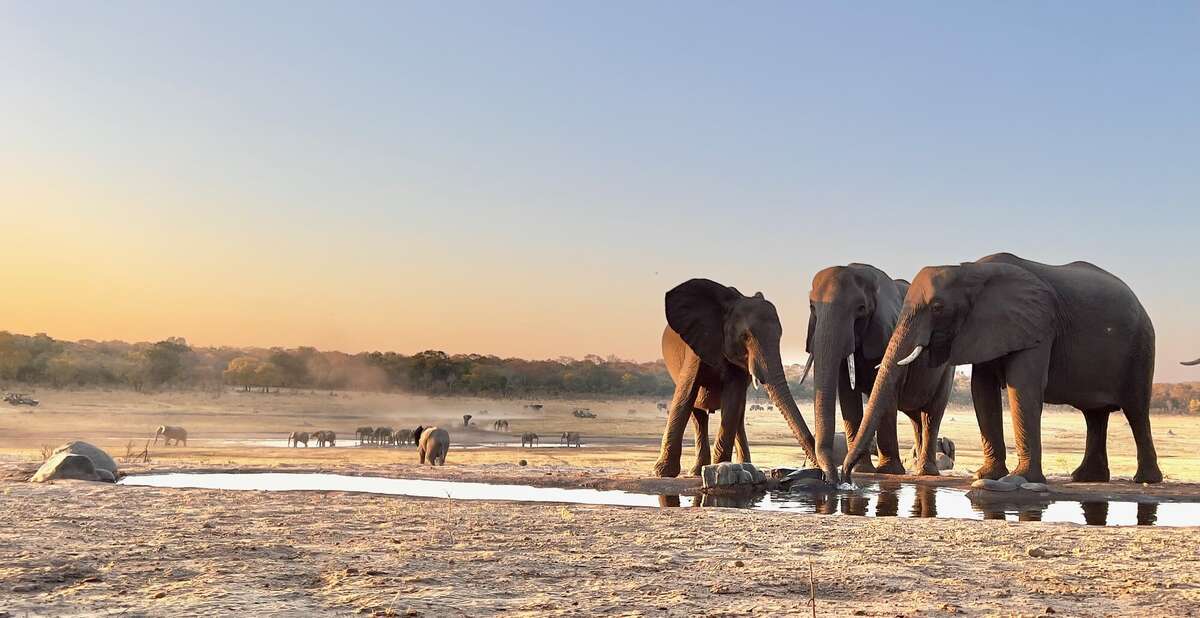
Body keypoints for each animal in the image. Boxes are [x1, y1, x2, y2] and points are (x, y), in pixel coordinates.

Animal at [652, 279, 820, 480]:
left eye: (779, 337)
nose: (821, 470)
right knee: (698, 414)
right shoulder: (696, 345)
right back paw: (696, 471)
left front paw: (720, 467)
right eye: (745, 337)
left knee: (738, 413)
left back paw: (741, 466)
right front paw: (662, 472)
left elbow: (732, 400)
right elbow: (686, 394)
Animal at [806, 262, 955, 480]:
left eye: (861, 309)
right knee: (916, 419)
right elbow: (848, 395)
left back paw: (927, 472)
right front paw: (862, 470)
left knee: (931, 414)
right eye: (812, 307)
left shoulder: (888, 330)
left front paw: (888, 471)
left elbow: (887, 393)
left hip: (946, 370)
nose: (842, 478)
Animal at [844, 254, 1161, 487]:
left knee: (1135, 410)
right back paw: (1086, 478)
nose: (846, 479)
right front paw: (986, 476)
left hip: (1141, 346)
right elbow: (981, 390)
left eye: (937, 307)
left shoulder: (1038, 325)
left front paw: (1021, 480)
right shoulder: (985, 328)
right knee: (1094, 415)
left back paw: (1144, 480)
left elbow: (1023, 386)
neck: (971, 271)